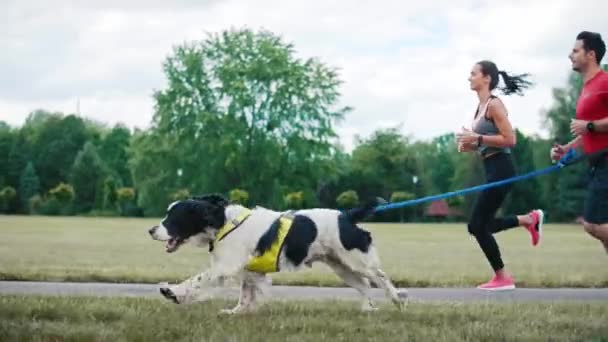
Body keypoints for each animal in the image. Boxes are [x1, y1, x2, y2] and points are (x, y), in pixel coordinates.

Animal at [146, 194, 408, 314]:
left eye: (172, 217)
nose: (150, 230)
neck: (222, 222)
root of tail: (347, 216)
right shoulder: (248, 270)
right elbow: (245, 295)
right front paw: (237, 313)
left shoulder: (225, 266)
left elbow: (196, 281)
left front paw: (173, 292)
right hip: (341, 266)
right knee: (364, 285)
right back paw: (368, 309)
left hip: (357, 260)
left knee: (380, 278)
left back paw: (397, 298)